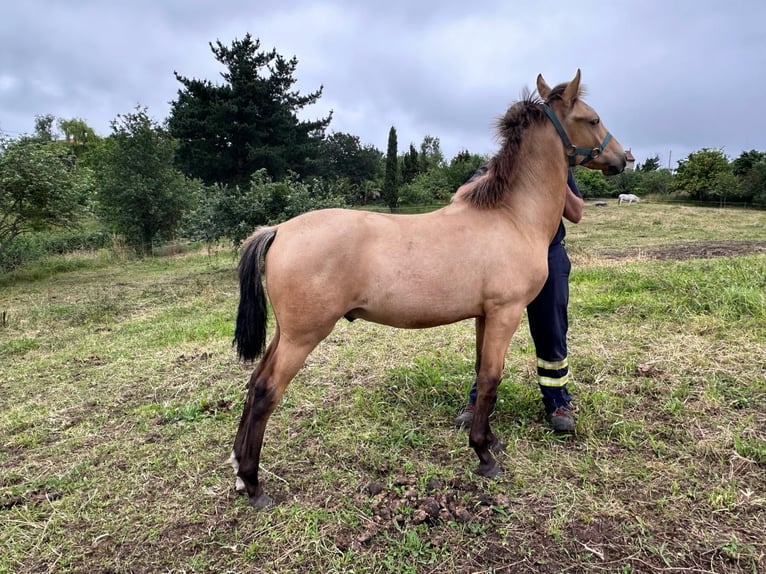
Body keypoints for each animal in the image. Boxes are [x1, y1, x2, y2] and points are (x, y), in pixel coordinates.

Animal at [231, 70, 628, 510]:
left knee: (253, 383)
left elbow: (481, 376)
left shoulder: (484, 316)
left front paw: (489, 439)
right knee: (265, 391)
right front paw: (484, 455)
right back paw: (253, 484)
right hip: (302, 336)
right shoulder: (505, 313)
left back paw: (238, 473)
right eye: (593, 119)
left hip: (286, 333)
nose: (624, 158)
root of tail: (278, 230)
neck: (511, 217)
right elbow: (491, 378)